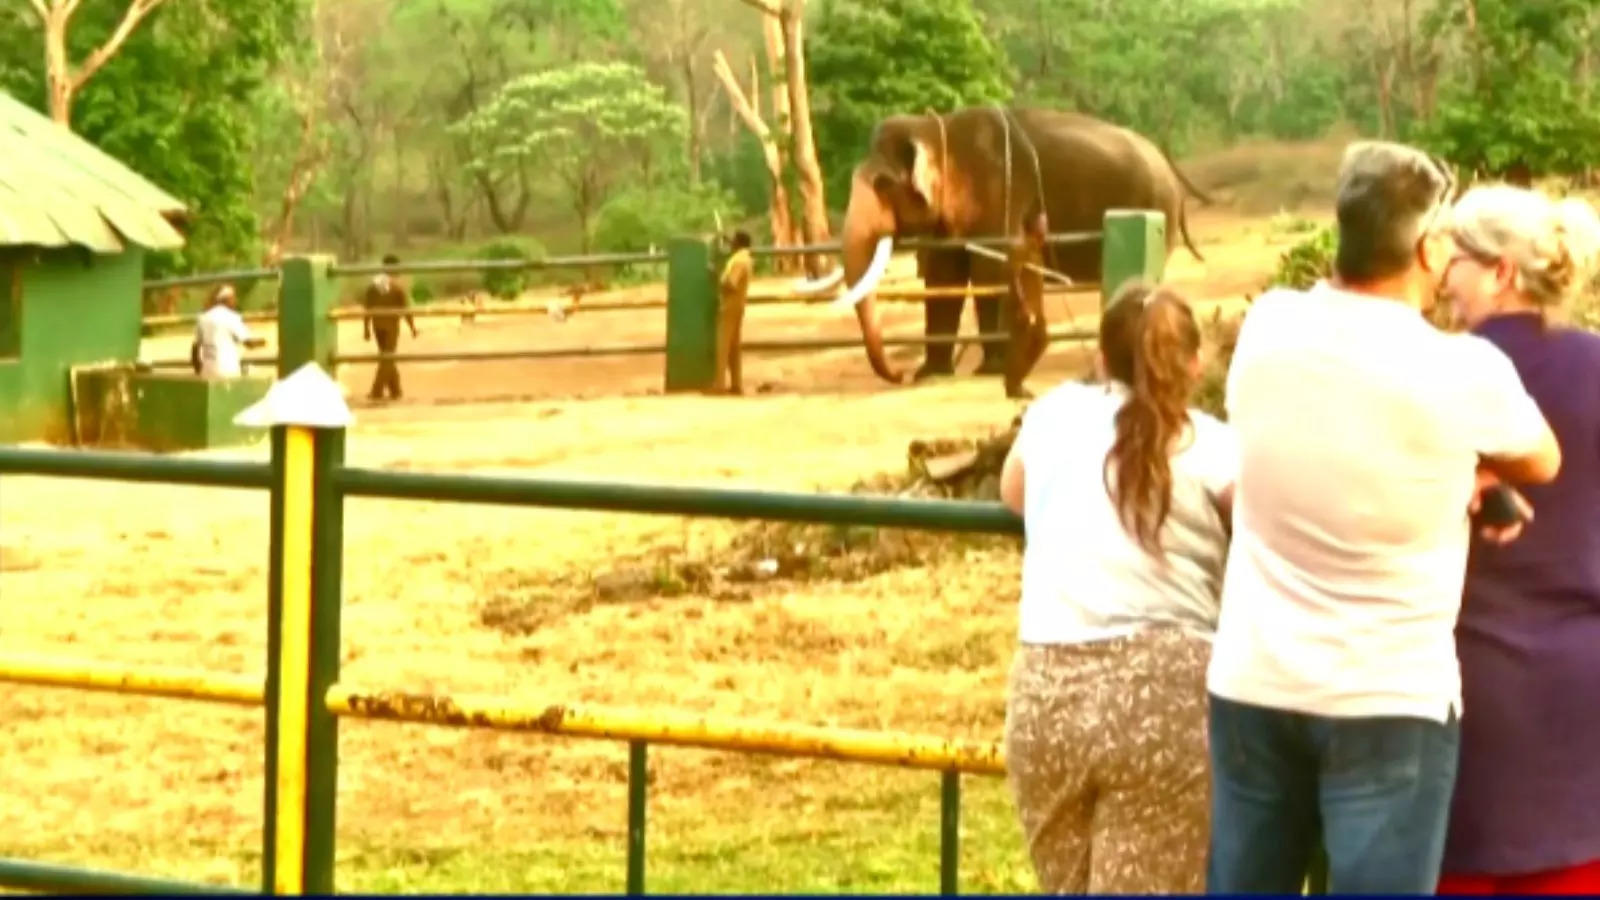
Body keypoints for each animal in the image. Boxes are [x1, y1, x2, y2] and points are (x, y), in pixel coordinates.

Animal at [800, 105, 1209, 395]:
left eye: (882, 185)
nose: (900, 375)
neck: (937, 126)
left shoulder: (996, 190)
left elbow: (989, 269)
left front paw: (988, 369)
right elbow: (944, 275)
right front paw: (932, 373)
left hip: (1155, 210)